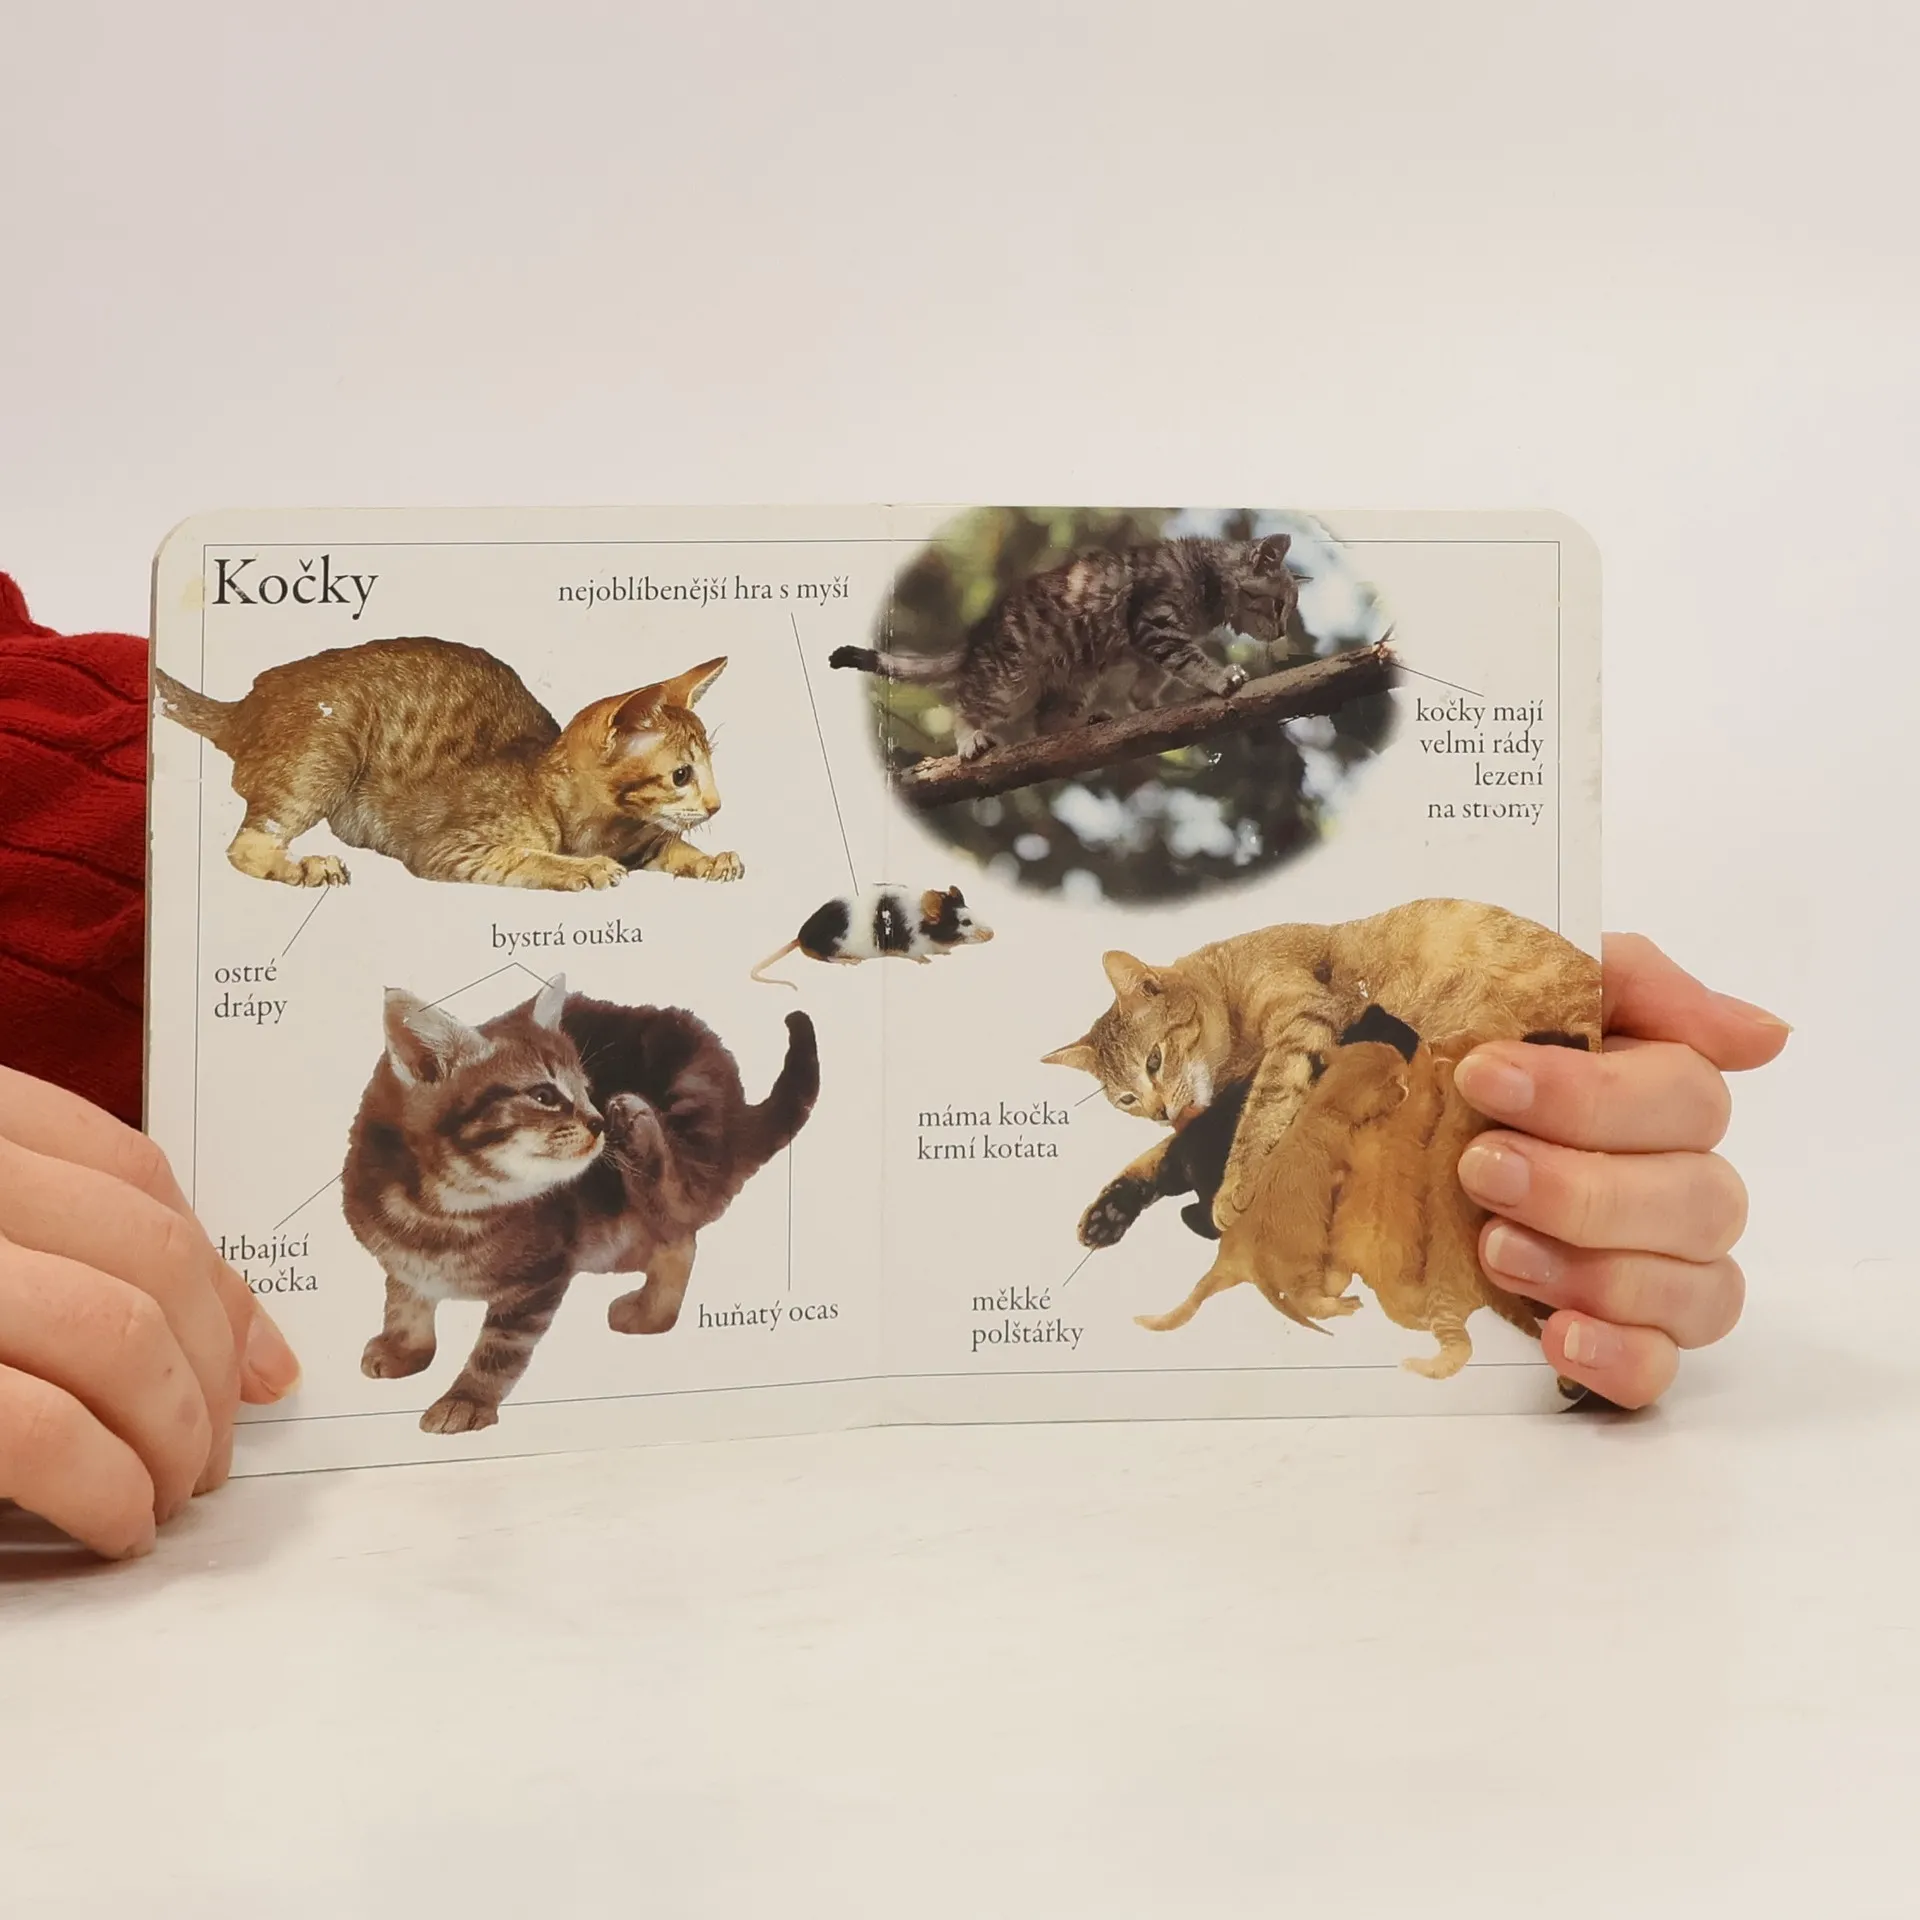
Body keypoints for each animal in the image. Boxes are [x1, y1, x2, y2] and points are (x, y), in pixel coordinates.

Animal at [153, 639, 744, 891]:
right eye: (682, 775)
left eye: (709, 769)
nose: (719, 806)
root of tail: (244, 706)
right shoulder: (450, 846)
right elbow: (525, 856)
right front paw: (580, 868)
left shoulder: (638, 838)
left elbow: (669, 844)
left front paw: (710, 859)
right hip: (327, 753)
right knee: (247, 846)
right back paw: (304, 866)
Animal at [341, 974, 818, 1434]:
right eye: (544, 1096)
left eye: (586, 1090)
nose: (598, 1120)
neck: (446, 1210)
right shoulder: (400, 1261)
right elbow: (403, 1298)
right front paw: (406, 1347)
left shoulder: (543, 1272)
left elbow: (501, 1346)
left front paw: (467, 1399)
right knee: (676, 1237)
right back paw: (652, 1311)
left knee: (678, 1209)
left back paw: (639, 1128)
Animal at [828, 534, 1306, 760]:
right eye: (1279, 605)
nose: (1283, 631)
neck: (1209, 577)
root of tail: (975, 640)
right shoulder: (1154, 623)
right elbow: (1186, 659)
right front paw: (1220, 678)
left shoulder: (1146, 642)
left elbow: (1149, 683)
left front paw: (1147, 706)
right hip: (1009, 680)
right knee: (966, 704)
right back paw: (971, 738)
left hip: (1076, 678)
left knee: (1044, 723)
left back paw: (1086, 723)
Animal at [1044, 897, 1600, 1246]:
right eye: (1126, 1100)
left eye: (1154, 1060)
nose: (1158, 1110)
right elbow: (1164, 1152)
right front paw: (1111, 1208)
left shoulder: (1302, 1023)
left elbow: (1264, 1104)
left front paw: (1237, 1183)